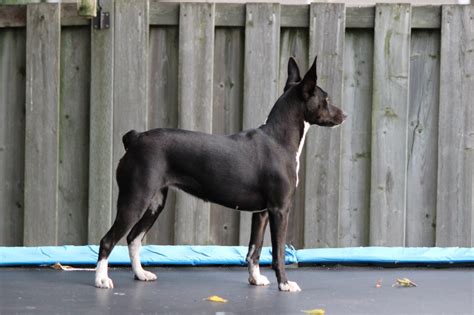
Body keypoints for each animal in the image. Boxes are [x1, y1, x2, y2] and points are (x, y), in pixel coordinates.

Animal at [94, 55, 346, 292]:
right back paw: (101, 279)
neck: (279, 140)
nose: (344, 115)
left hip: (155, 203)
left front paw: (255, 279)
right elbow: (278, 253)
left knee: (133, 238)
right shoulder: (280, 210)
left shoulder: (262, 213)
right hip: (135, 200)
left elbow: (254, 250)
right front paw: (284, 284)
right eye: (326, 100)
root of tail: (135, 138)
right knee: (108, 240)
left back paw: (140, 274)